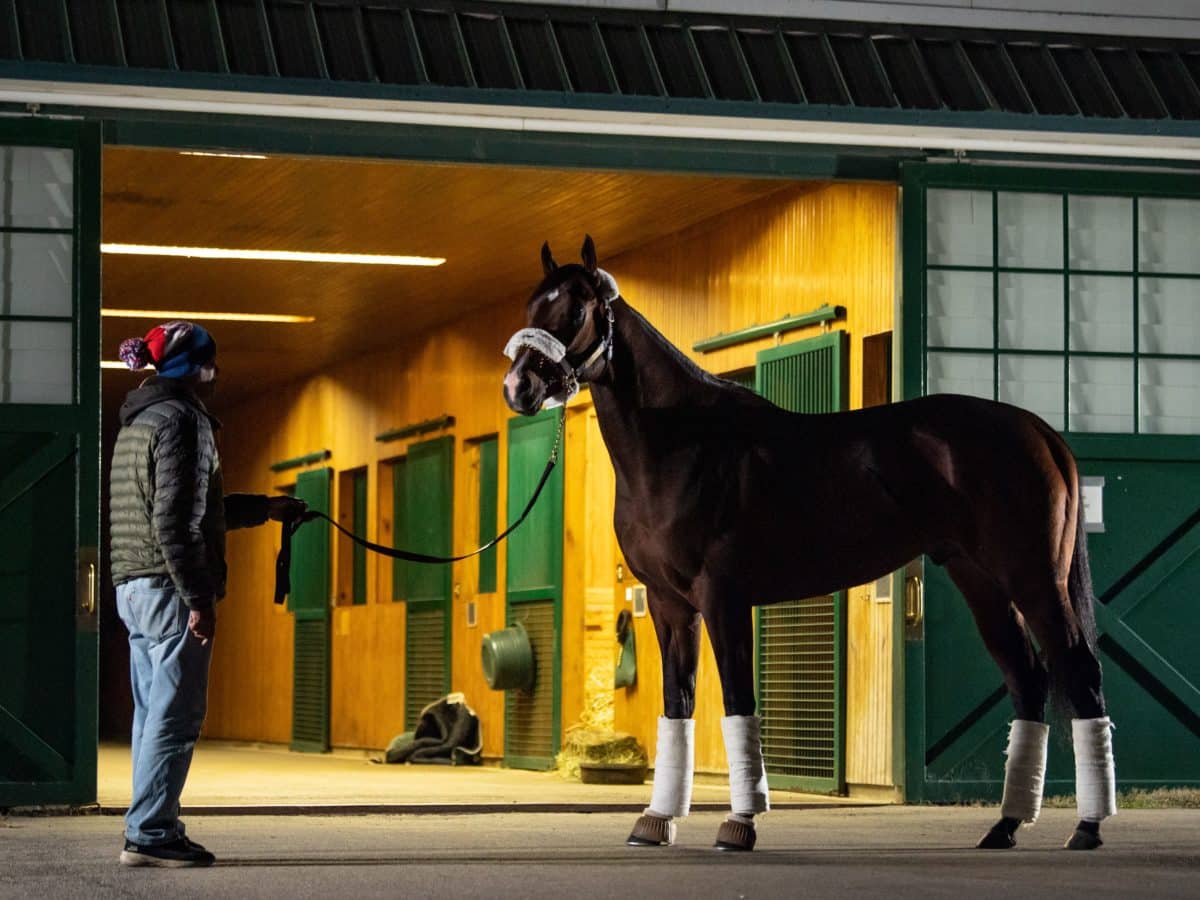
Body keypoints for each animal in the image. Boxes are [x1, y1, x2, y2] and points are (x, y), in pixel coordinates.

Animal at [499, 236, 1113, 854]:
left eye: (577, 308)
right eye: (530, 305)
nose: (518, 388)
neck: (682, 444)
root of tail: (1038, 430)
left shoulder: (723, 598)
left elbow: (738, 701)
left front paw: (739, 824)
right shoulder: (671, 606)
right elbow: (678, 704)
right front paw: (655, 822)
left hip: (1035, 581)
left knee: (1080, 673)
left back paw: (1085, 828)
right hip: (982, 583)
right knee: (1028, 680)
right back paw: (1004, 826)